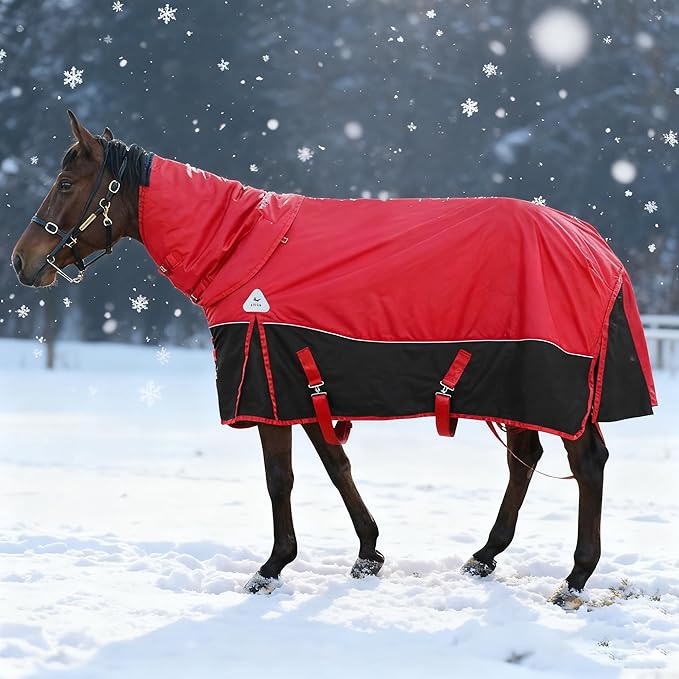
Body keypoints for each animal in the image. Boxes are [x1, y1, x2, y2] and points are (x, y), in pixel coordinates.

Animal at [11, 111, 656, 607]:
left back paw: (575, 578)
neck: (241, 247)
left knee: (586, 463)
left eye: (66, 183)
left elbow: (281, 479)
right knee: (525, 459)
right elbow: (336, 466)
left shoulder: (266, 386)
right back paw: (485, 556)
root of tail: (593, 244)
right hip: (517, 389)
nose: (22, 261)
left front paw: (272, 567)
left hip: (553, 385)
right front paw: (368, 553)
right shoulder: (305, 385)